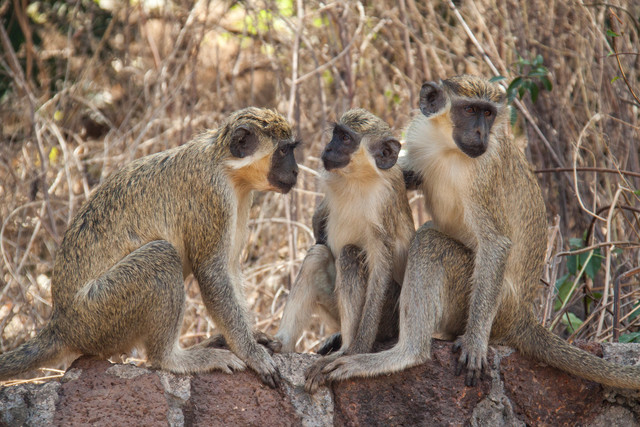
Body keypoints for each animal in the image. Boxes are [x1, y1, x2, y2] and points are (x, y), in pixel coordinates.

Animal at [0, 106, 300, 388]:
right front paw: (250, 352)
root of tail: (60, 324)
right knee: (162, 255)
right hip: (96, 316)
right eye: (283, 150)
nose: (296, 171)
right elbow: (212, 272)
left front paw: (251, 337)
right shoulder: (213, 194)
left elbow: (229, 268)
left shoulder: (240, 196)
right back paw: (174, 359)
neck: (225, 164)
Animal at [272, 108, 416, 392]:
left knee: (350, 254)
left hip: (388, 318)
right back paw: (280, 345)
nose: (328, 148)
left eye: (346, 138)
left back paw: (345, 348)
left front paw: (356, 352)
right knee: (317, 256)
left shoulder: (383, 204)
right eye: (336, 134)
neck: (358, 179)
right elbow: (320, 226)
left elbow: (380, 269)